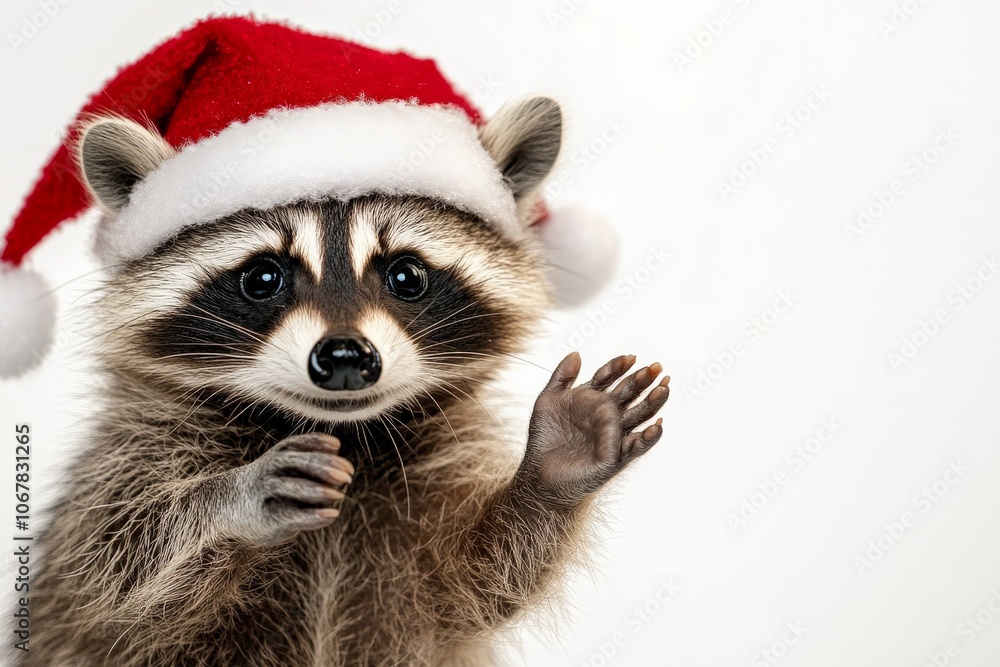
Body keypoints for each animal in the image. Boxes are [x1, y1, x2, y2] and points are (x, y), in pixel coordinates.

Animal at [17, 97, 670, 666]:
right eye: (263, 277)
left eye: (407, 275)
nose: (346, 356)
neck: (347, 433)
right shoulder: (130, 457)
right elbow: (113, 576)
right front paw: (229, 503)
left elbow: (479, 578)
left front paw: (554, 470)